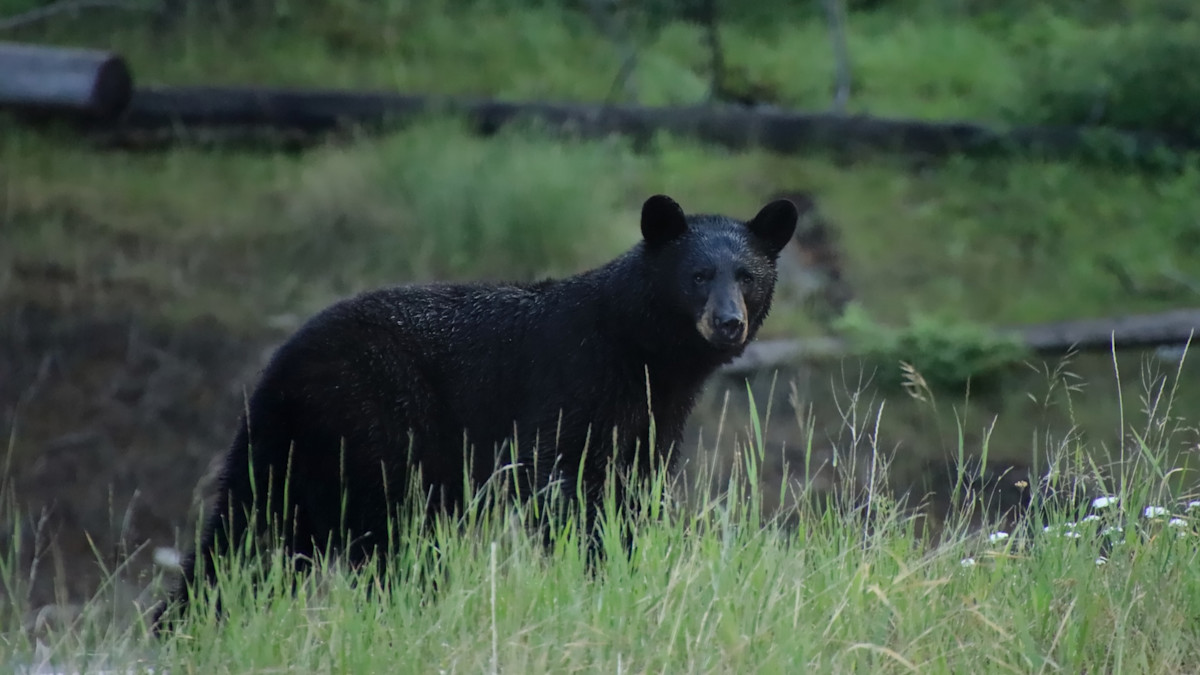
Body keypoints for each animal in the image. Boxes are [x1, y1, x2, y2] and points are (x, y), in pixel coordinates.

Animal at [154, 193, 798, 628]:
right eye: (697, 276)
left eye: (747, 276)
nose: (728, 322)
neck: (639, 351)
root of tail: (282, 365)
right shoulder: (570, 385)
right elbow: (560, 485)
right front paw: (592, 573)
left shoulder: (651, 420)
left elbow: (634, 492)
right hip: (373, 421)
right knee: (389, 539)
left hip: (286, 448)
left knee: (243, 537)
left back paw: (186, 626)